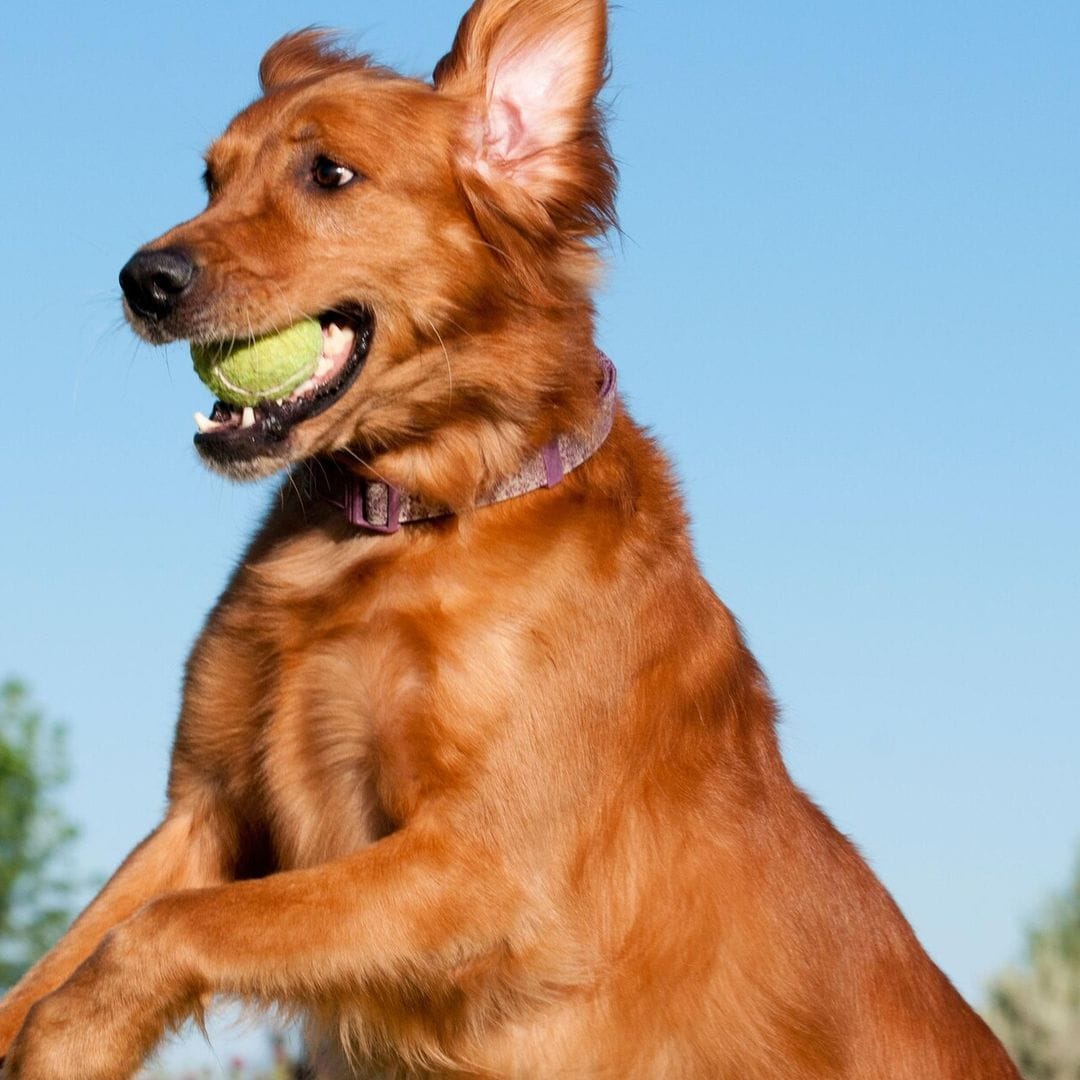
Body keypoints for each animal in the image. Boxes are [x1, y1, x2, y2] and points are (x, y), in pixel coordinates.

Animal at [0, 2, 1019, 1080]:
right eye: (210, 179)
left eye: (330, 174)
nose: (142, 280)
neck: (403, 525)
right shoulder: (206, 808)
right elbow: (63, 959)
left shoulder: (483, 869)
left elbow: (160, 932)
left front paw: (67, 1040)